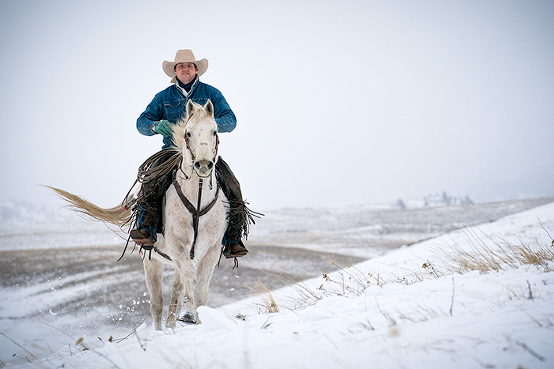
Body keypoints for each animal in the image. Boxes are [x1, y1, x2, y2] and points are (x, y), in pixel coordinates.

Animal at [49, 100, 226, 328]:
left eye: (215, 131)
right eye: (188, 132)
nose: (203, 165)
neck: (198, 198)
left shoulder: (211, 250)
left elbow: (200, 291)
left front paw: (197, 317)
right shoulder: (178, 246)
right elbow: (188, 277)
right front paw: (188, 312)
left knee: (174, 294)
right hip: (151, 260)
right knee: (157, 302)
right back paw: (160, 330)